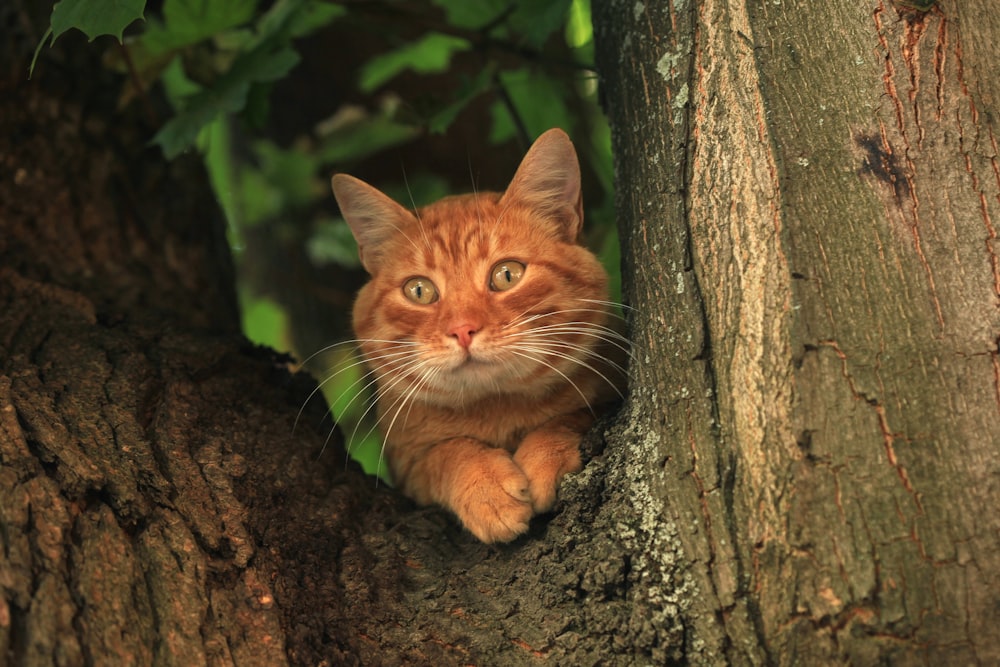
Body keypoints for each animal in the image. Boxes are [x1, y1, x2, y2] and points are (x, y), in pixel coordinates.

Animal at [330, 129, 624, 544]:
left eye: (507, 274)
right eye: (419, 291)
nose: (462, 329)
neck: (496, 410)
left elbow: (571, 417)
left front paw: (544, 456)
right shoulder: (407, 467)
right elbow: (446, 453)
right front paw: (485, 488)